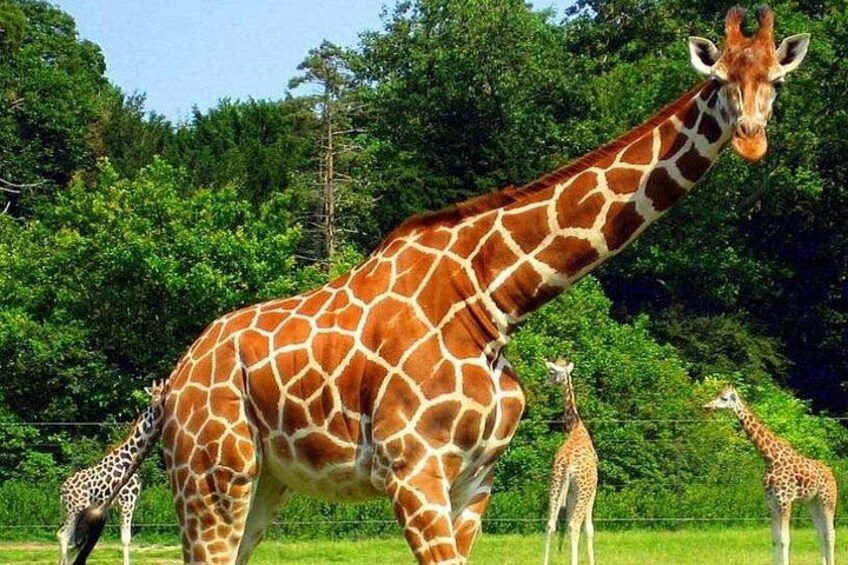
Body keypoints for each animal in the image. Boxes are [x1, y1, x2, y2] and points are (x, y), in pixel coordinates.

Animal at [57, 381, 165, 565]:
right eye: (153, 394)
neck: (130, 456)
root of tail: (63, 490)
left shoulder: (121, 503)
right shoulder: (127, 500)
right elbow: (126, 539)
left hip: (71, 509)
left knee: (63, 535)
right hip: (76, 508)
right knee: (64, 536)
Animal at [543, 359, 598, 565]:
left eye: (551, 372)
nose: (546, 384)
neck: (574, 426)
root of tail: (567, 464)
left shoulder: (571, 491)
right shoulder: (592, 490)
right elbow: (588, 529)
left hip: (556, 483)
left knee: (550, 524)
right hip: (583, 490)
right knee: (574, 525)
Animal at [705, 385, 837, 565]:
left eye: (724, 399)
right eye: (716, 395)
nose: (707, 406)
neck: (770, 458)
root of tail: (831, 475)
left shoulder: (785, 500)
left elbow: (785, 540)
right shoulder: (771, 501)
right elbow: (775, 539)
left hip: (828, 499)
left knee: (830, 534)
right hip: (813, 502)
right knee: (821, 533)